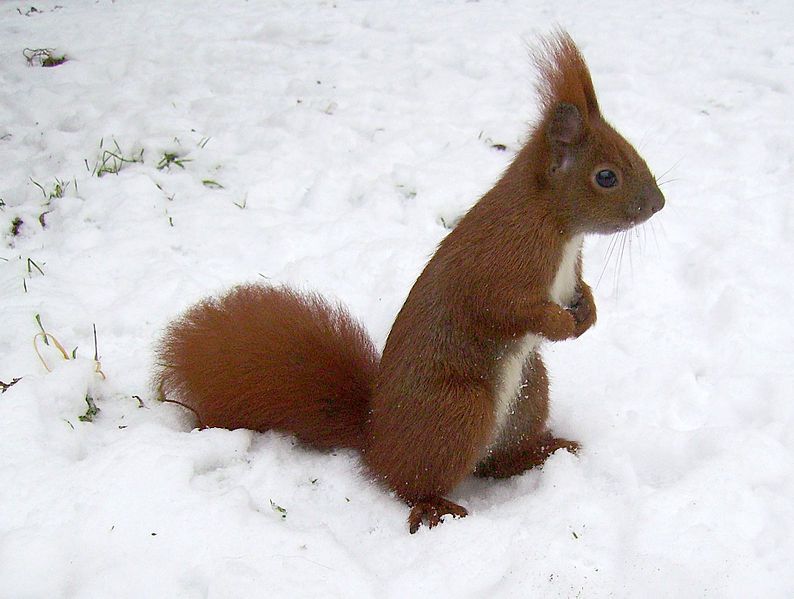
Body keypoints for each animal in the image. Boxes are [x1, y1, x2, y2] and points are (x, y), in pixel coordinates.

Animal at [154, 31, 664, 534]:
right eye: (605, 176)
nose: (659, 204)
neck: (557, 225)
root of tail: (376, 443)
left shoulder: (568, 272)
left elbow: (580, 290)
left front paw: (588, 313)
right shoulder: (501, 265)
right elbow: (509, 308)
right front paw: (561, 325)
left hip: (529, 394)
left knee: (497, 461)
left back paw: (543, 451)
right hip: (459, 410)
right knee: (412, 484)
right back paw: (436, 507)